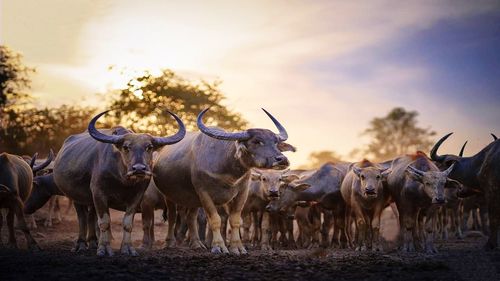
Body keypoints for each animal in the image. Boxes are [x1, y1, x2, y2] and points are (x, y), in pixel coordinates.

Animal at [53, 109, 186, 256]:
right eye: (126, 147)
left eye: (149, 147)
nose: (139, 169)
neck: (122, 180)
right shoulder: (99, 194)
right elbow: (105, 222)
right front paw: (104, 249)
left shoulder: (136, 197)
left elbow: (128, 224)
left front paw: (127, 248)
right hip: (76, 197)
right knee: (82, 219)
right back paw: (81, 245)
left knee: (91, 217)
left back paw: (93, 243)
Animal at [152, 107, 292, 254]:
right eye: (257, 141)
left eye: (275, 142)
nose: (282, 159)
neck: (226, 168)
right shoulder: (204, 193)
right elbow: (215, 220)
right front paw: (219, 246)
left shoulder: (242, 192)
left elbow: (235, 220)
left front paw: (237, 247)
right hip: (169, 196)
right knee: (172, 217)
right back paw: (170, 243)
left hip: (193, 199)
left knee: (191, 217)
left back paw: (196, 244)